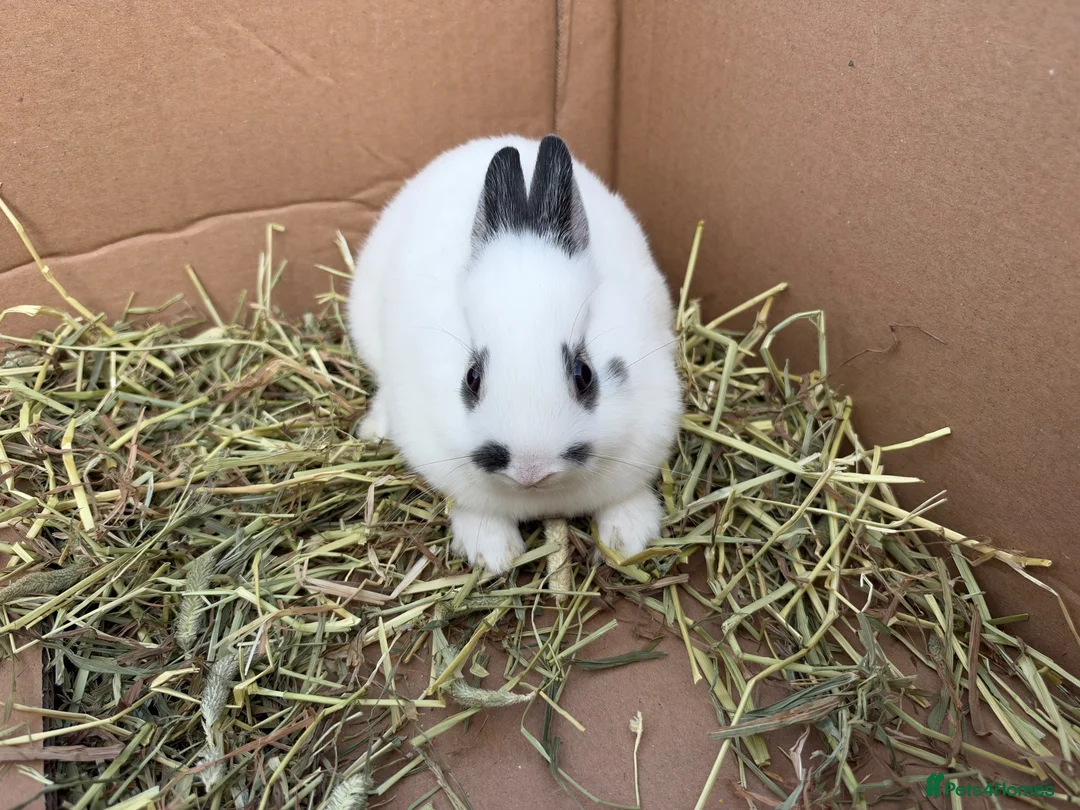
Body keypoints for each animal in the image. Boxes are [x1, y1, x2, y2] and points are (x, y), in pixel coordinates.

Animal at [346, 133, 683, 575]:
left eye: (584, 374)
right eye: (471, 378)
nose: (530, 469)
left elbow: (626, 497)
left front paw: (627, 541)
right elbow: (476, 509)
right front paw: (494, 554)